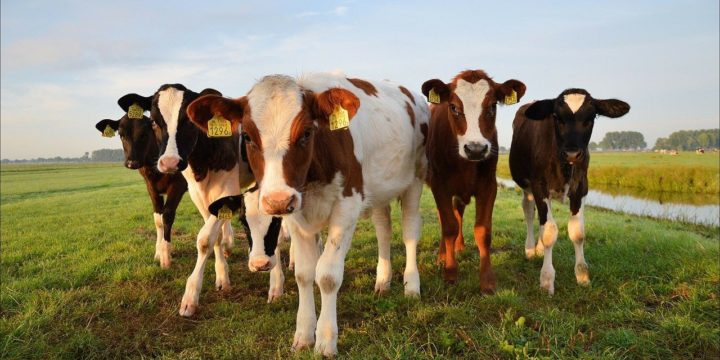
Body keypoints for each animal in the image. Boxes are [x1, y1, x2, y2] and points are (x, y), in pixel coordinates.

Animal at [94, 98, 187, 268]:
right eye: (121, 135)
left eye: (144, 134)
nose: (132, 162)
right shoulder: (151, 187)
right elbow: (158, 219)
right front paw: (158, 253)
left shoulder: (178, 184)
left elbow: (167, 216)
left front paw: (166, 257)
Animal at [188, 74, 430, 358]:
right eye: (246, 136)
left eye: (306, 133)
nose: (277, 200)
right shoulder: (297, 214)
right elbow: (304, 273)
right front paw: (304, 334)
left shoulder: (347, 207)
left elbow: (327, 275)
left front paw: (325, 340)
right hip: (380, 189)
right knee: (383, 229)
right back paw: (383, 280)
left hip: (415, 179)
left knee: (410, 232)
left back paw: (411, 286)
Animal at [420, 69, 524, 292]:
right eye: (453, 107)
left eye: (493, 105)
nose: (475, 149)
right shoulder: (439, 185)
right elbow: (448, 226)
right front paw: (450, 272)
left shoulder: (488, 185)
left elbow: (483, 231)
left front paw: (487, 281)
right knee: (445, 219)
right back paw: (443, 255)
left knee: (458, 212)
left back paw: (458, 246)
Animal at [506, 88, 632, 294]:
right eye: (557, 117)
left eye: (591, 117)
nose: (572, 153)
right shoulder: (539, 187)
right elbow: (549, 231)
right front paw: (547, 280)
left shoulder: (581, 188)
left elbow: (577, 233)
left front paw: (582, 275)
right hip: (527, 187)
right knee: (529, 211)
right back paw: (530, 249)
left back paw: (538, 248)